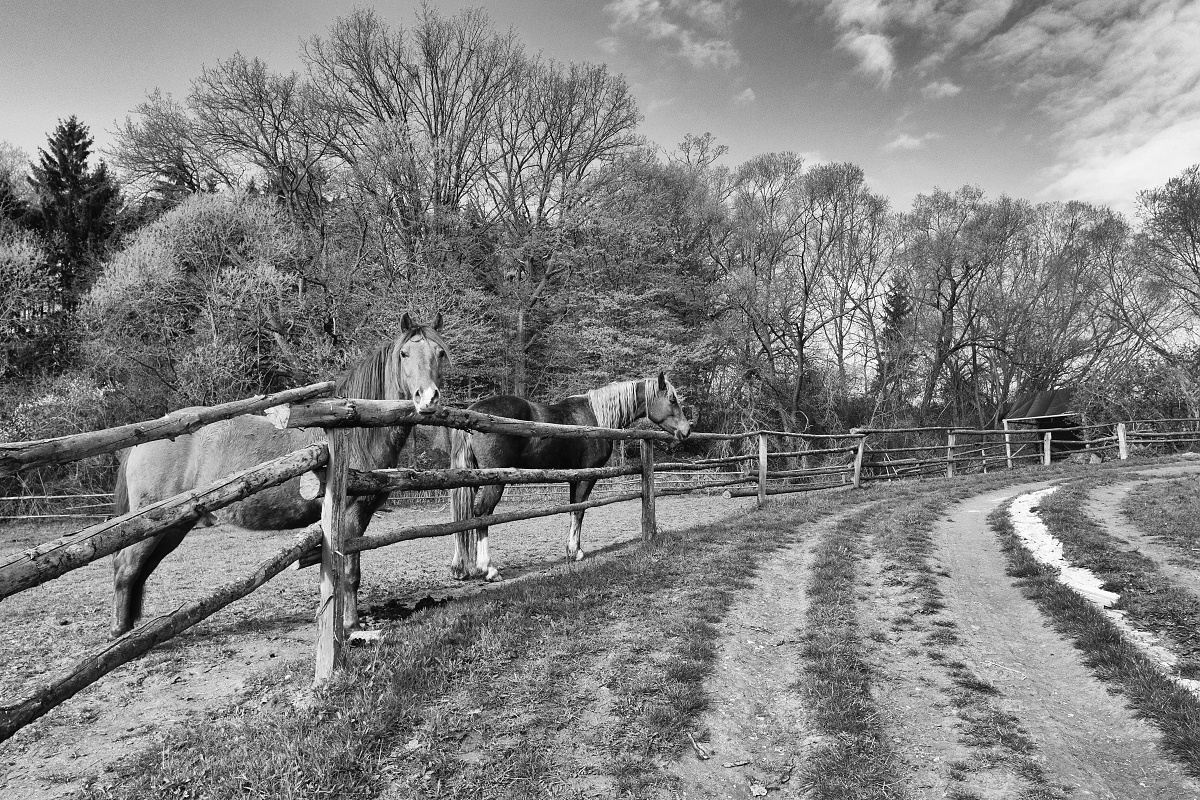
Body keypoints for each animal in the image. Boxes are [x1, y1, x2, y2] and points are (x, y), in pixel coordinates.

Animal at [110, 313, 449, 637]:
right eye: (404, 353)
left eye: (440, 352)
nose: (428, 398)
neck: (353, 429)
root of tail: (144, 437)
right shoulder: (351, 516)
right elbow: (350, 573)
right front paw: (351, 626)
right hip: (154, 527)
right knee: (127, 568)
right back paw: (120, 633)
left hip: (174, 528)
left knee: (139, 570)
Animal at [448, 373, 691, 581]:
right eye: (672, 399)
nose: (686, 431)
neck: (596, 416)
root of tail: (473, 412)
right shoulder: (587, 475)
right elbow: (580, 510)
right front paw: (576, 552)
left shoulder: (574, 477)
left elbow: (574, 508)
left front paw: (571, 549)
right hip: (493, 480)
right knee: (482, 514)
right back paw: (488, 568)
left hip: (471, 479)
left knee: (464, 516)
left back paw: (460, 568)